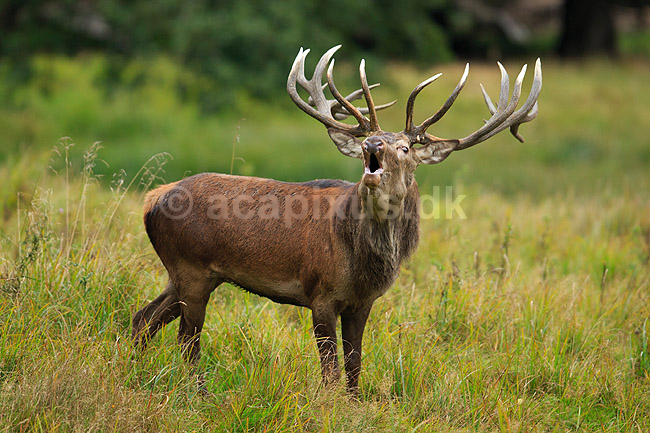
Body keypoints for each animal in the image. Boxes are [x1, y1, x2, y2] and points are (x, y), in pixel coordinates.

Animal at [132, 45, 541, 394]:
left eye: (404, 148)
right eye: (369, 140)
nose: (371, 145)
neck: (362, 263)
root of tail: (152, 199)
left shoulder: (363, 302)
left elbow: (354, 364)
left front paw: (356, 404)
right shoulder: (320, 293)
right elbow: (330, 371)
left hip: (190, 273)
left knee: (143, 318)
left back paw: (136, 373)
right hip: (191, 267)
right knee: (186, 340)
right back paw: (196, 392)